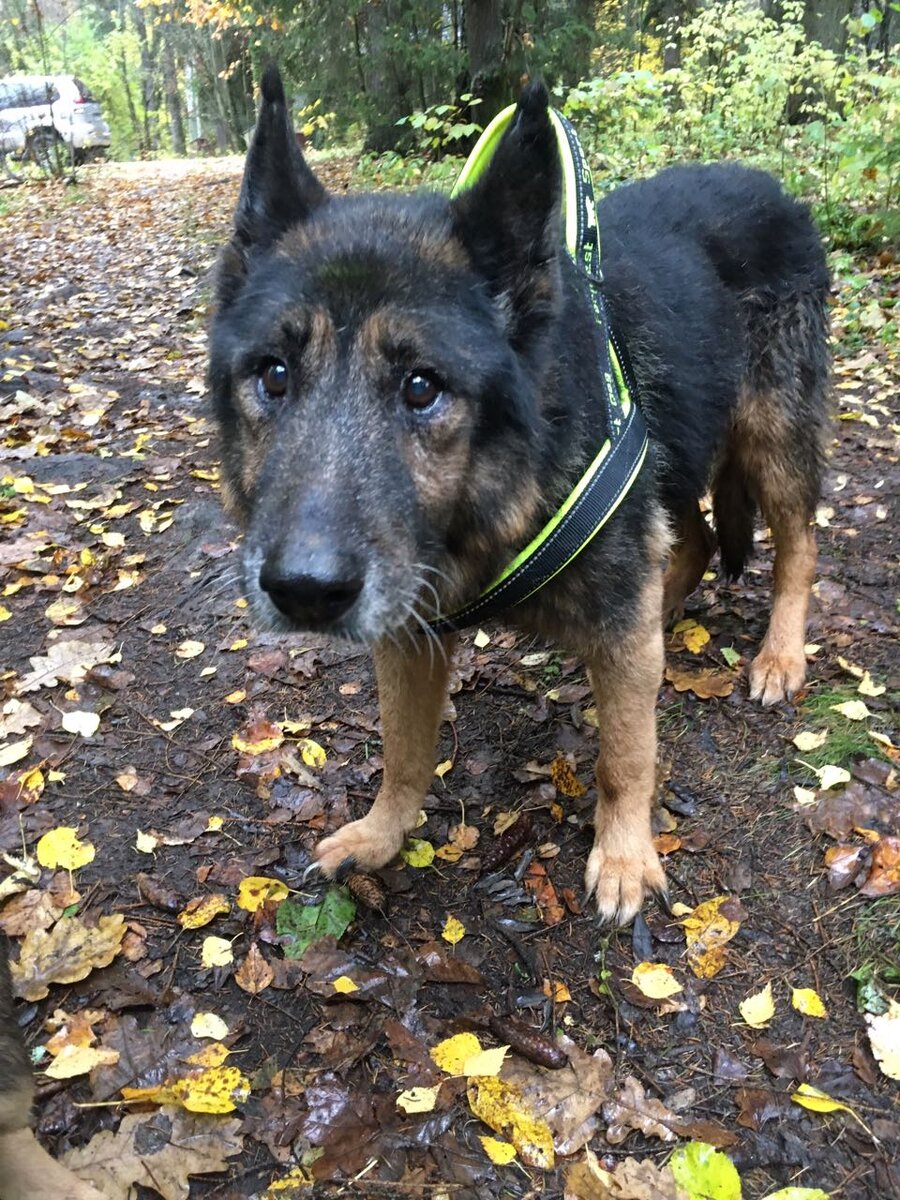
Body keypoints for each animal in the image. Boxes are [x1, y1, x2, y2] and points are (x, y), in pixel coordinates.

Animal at [207, 65, 830, 921]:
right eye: (273, 375)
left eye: (422, 387)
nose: (304, 591)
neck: (498, 493)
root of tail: (775, 189)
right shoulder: (411, 637)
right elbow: (403, 752)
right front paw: (381, 833)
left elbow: (626, 755)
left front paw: (625, 855)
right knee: (693, 544)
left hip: (769, 439)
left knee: (798, 548)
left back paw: (779, 656)